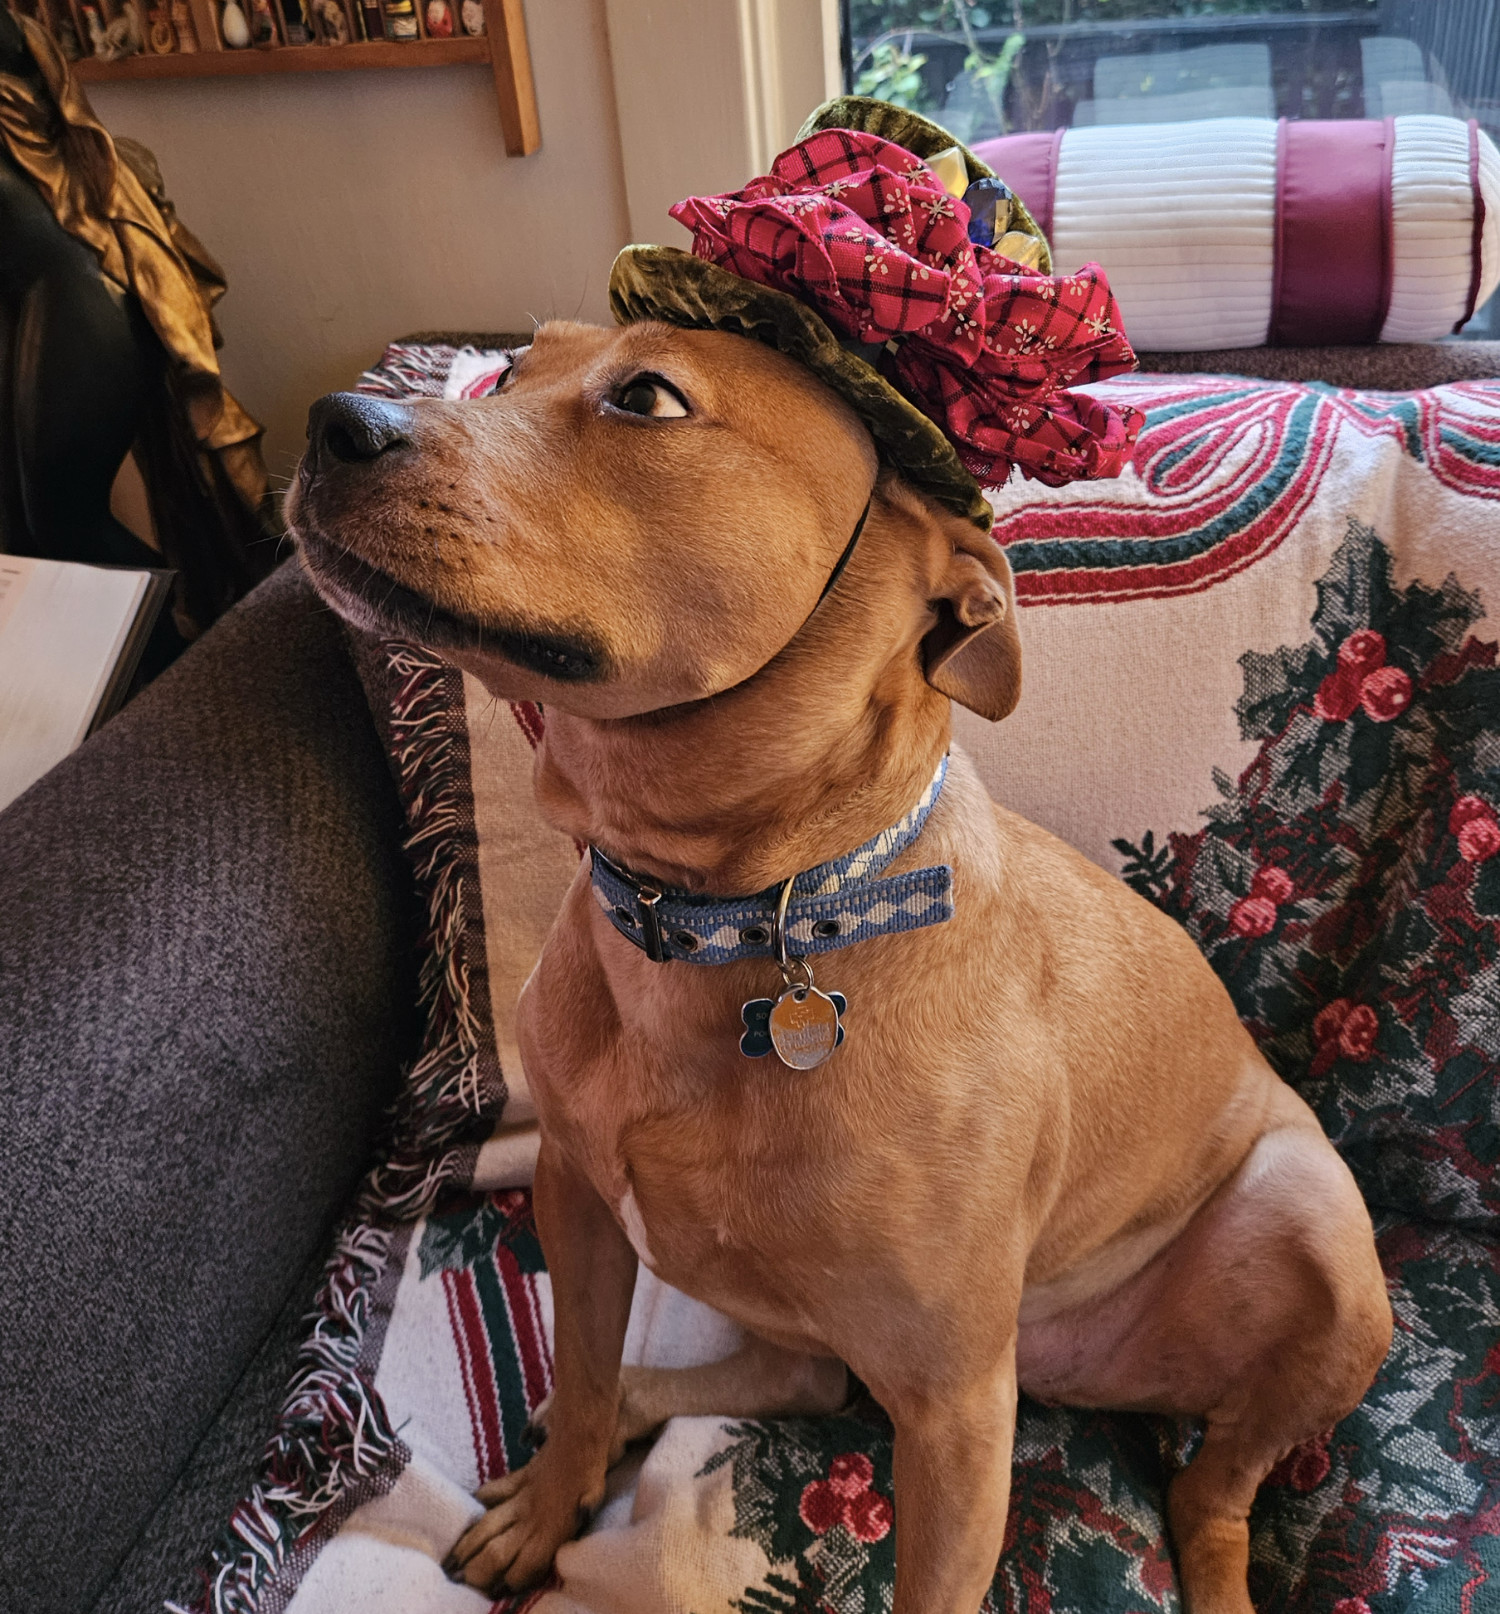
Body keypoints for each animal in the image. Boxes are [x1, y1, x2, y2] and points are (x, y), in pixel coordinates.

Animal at [292, 317, 1395, 1614]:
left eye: (648, 399)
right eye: (514, 371)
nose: (332, 422)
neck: (724, 916)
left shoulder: (956, 1415)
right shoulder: (576, 1201)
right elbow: (582, 1374)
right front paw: (557, 1498)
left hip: (1312, 1227)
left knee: (1212, 1492)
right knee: (784, 1379)